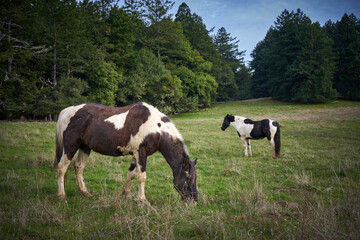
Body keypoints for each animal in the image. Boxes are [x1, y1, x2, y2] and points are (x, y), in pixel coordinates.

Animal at [54, 102, 198, 202]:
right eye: (188, 177)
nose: (194, 201)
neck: (156, 129)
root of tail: (65, 111)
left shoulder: (135, 155)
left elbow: (132, 174)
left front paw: (127, 195)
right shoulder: (141, 153)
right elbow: (142, 177)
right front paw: (142, 200)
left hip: (85, 147)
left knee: (79, 167)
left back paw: (85, 192)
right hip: (70, 146)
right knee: (62, 168)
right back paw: (61, 195)